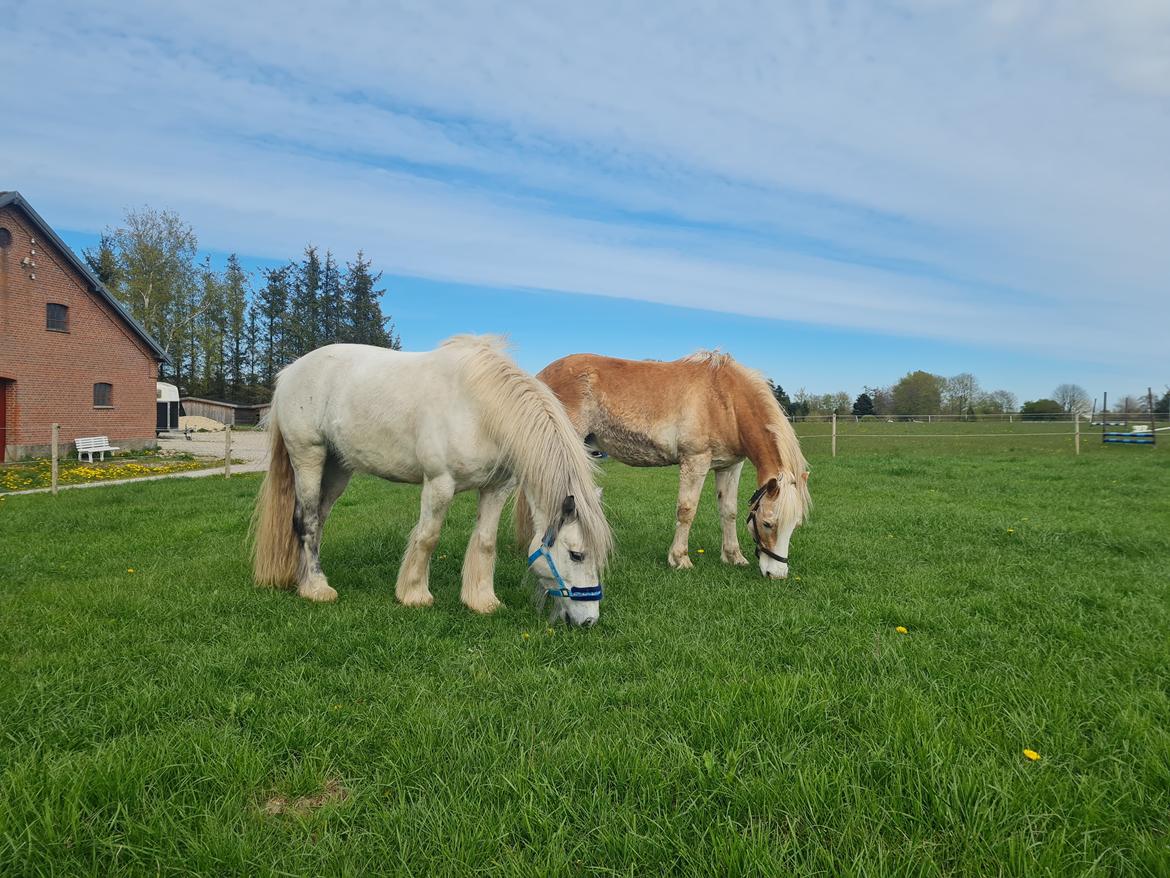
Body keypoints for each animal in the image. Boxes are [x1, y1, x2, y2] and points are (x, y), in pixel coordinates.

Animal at [253, 332, 613, 627]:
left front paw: (482, 601)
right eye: (577, 554)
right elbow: (428, 536)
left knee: (317, 520)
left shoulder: (496, 488)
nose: (588, 621)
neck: (480, 409)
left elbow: (486, 542)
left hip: (337, 467)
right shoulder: (440, 483)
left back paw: (304, 579)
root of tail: (290, 372)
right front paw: (414, 595)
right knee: (307, 521)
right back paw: (317, 588)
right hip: (309, 457)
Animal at [519, 351, 804, 578]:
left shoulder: (730, 467)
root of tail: (541, 376)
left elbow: (729, 511)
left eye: (795, 525)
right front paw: (680, 559)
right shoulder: (695, 461)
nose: (777, 574)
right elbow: (686, 510)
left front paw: (733, 557)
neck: (725, 399)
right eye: (767, 524)